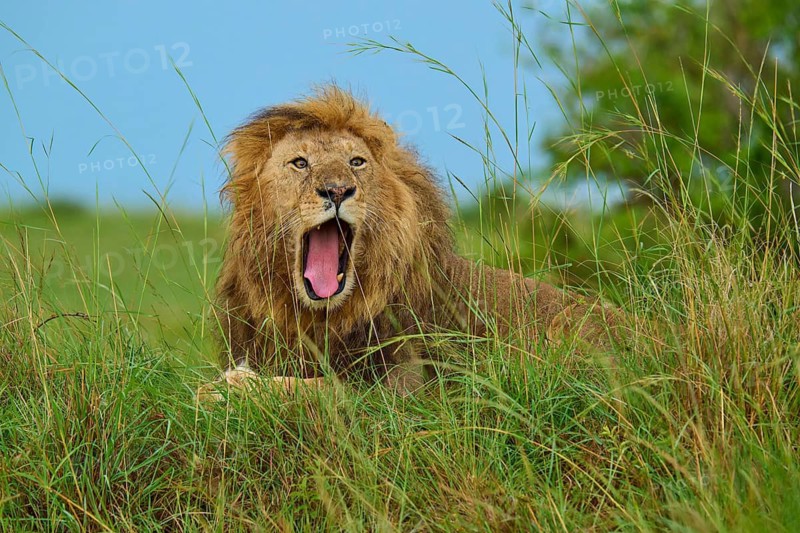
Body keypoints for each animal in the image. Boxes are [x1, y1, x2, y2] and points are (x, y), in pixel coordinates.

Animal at [201, 86, 620, 399]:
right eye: (300, 163)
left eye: (356, 162)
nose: (337, 191)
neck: (317, 317)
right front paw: (224, 384)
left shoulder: (402, 389)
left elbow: (325, 387)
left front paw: (238, 385)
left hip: (572, 323)